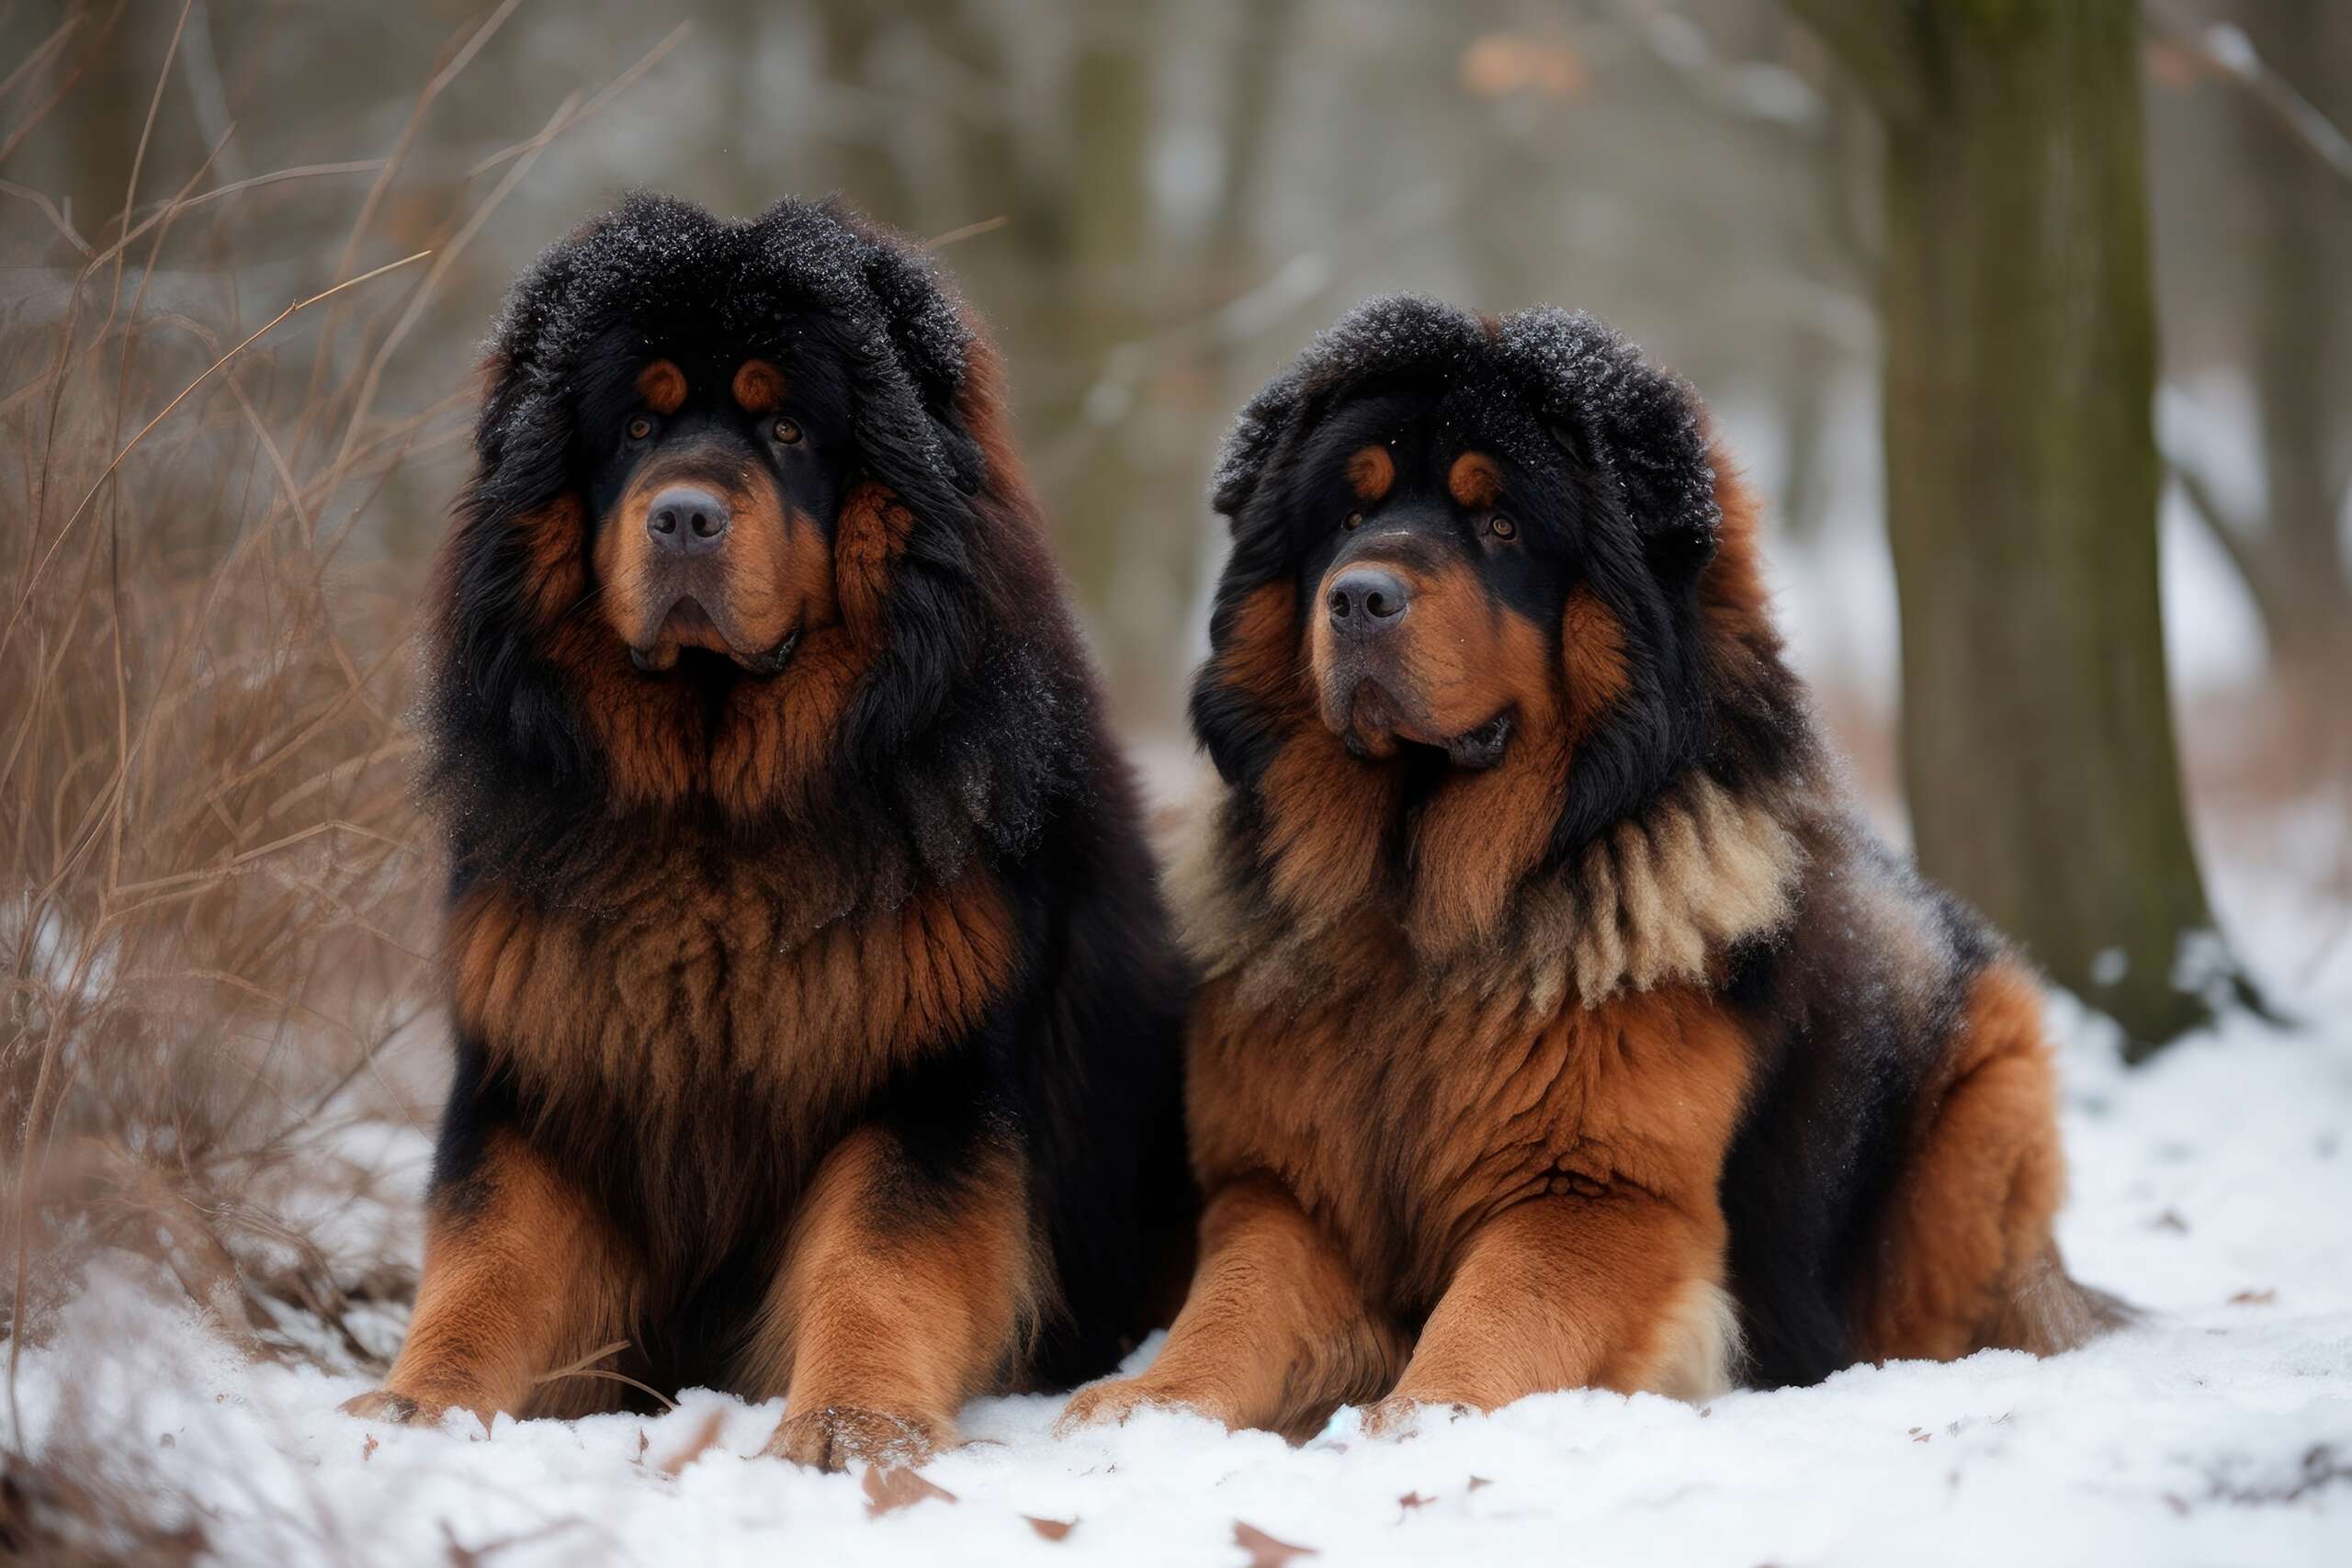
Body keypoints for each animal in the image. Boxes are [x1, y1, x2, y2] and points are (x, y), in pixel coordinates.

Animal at [343, 192, 1194, 1476]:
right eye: (637, 425)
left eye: (787, 427)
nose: (685, 515)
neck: (714, 808)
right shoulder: (540, 1068)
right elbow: (488, 1262)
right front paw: (417, 1405)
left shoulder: (926, 1079)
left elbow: (878, 1258)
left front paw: (854, 1422)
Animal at [1058, 293, 2126, 1448]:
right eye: (1347, 518)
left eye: (1501, 526)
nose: (1357, 599)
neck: (1417, 903)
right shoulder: (1285, 1190)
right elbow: (1231, 1307)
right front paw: (1145, 1407)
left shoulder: (1597, 1197)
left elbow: (1494, 1312)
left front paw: (1425, 1420)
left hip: (1985, 1097)